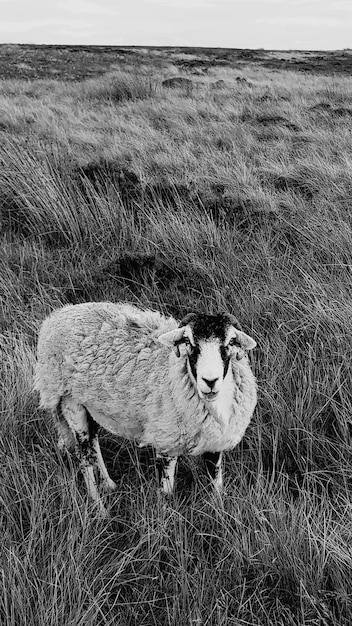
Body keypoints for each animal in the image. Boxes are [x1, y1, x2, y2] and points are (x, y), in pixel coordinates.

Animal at [34, 302, 258, 512]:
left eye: (230, 342)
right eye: (188, 342)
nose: (210, 381)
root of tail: (57, 315)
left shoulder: (214, 442)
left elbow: (216, 484)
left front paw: (220, 511)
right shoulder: (166, 442)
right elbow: (166, 493)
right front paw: (166, 519)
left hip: (89, 404)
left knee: (94, 442)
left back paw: (109, 484)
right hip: (69, 401)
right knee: (84, 456)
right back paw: (100, 508)